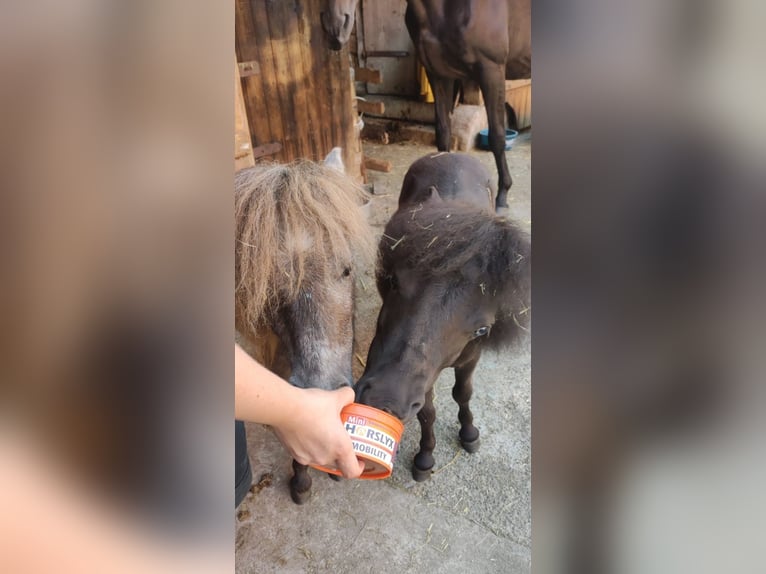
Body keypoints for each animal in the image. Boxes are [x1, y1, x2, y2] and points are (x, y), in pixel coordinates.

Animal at [356, 153, 532, 482]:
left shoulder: (468, 359)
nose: (385, 399)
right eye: (394, 282)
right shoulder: (421, 378)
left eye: (481, 330)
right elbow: (428, 412)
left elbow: (463, 393)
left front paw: (469, 433)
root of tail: (451, 153)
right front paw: (425, 457)